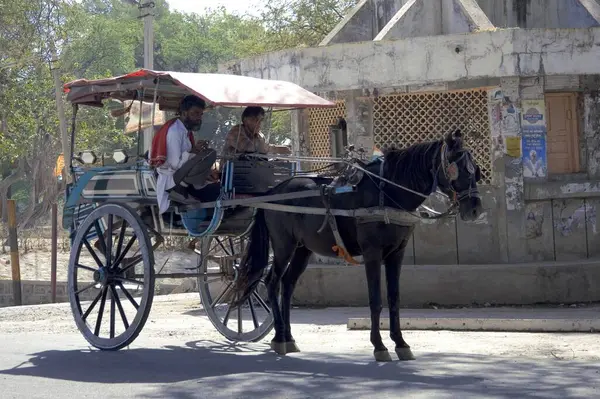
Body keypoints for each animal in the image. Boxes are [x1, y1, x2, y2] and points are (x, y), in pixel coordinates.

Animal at [230, 130, 482, 362]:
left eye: (475, 170)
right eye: (457, 168)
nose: (475, 209)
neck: (387, 193)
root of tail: (272, 191)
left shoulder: (397, 253)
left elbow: (394, 298)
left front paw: (400, 343)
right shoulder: (372, 253)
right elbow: (375, 299)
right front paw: (379, 346)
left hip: (303, 249)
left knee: (288, 284)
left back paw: (289, 338)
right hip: (284, 245)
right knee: (272, 282)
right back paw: (279, 338)